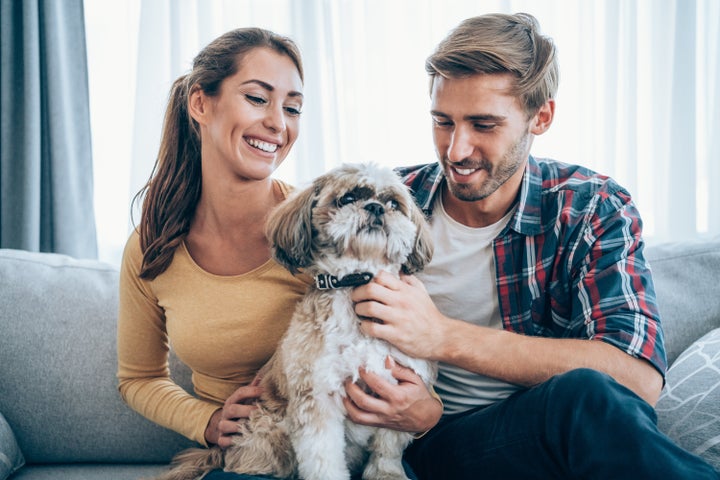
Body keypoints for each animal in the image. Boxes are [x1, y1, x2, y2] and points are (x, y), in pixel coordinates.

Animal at [155, 164, 436, 480]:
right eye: (348, 198)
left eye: (393, 204)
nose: (376, 207)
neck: (354, 282)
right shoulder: (316, 398)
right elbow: (323, 460)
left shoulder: (396, 393)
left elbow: (387, 450)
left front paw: (387, 474)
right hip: (268, 431)